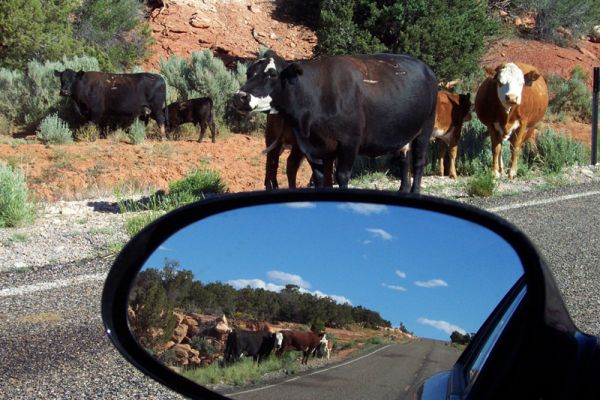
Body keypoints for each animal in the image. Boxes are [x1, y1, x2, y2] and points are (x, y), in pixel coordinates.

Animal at [233, 50, 436, 195]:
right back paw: (403, 191)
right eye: (249, 73)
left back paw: (415, 192)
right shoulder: (312, 147)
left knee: (418, 162)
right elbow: (321, 177)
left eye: (272, 74)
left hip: (425, 129)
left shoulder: (349, 143)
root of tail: (426, 69)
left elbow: (341, 176)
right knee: (405, 159)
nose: (239, 96)